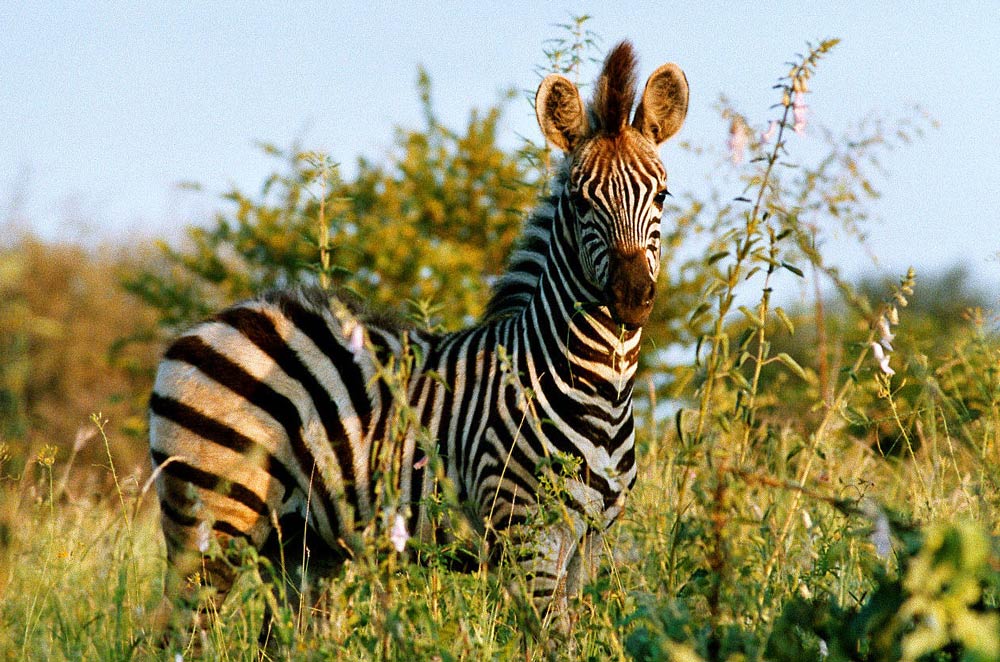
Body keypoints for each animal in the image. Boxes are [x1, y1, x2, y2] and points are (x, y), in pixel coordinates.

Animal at [150, 39, 688, 644]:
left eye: (661, 195)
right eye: (579, 201)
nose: (632, 297)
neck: (593, 386)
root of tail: (212, 322)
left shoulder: (593, 538)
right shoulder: (526, 531)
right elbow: (551, 640)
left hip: (298, 542)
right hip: (211, 520)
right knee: (181, 632)